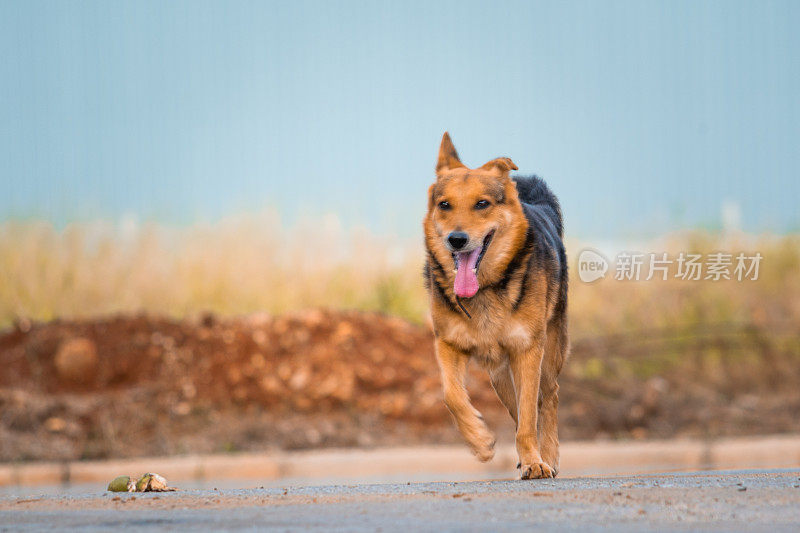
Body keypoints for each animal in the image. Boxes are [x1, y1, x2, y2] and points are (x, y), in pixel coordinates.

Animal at [424, 132, 568, 478]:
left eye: (482, 204)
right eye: (444, 205)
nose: (456, 239)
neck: (486, 289)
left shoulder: (528, 350)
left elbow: (530, 415)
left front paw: (536, 462)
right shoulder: (448, 344)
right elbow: (451, 396)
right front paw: (479, 440)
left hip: (548, 353)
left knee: (548, 397)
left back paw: (548, 455)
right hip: (499, 374)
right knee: (518, 408)